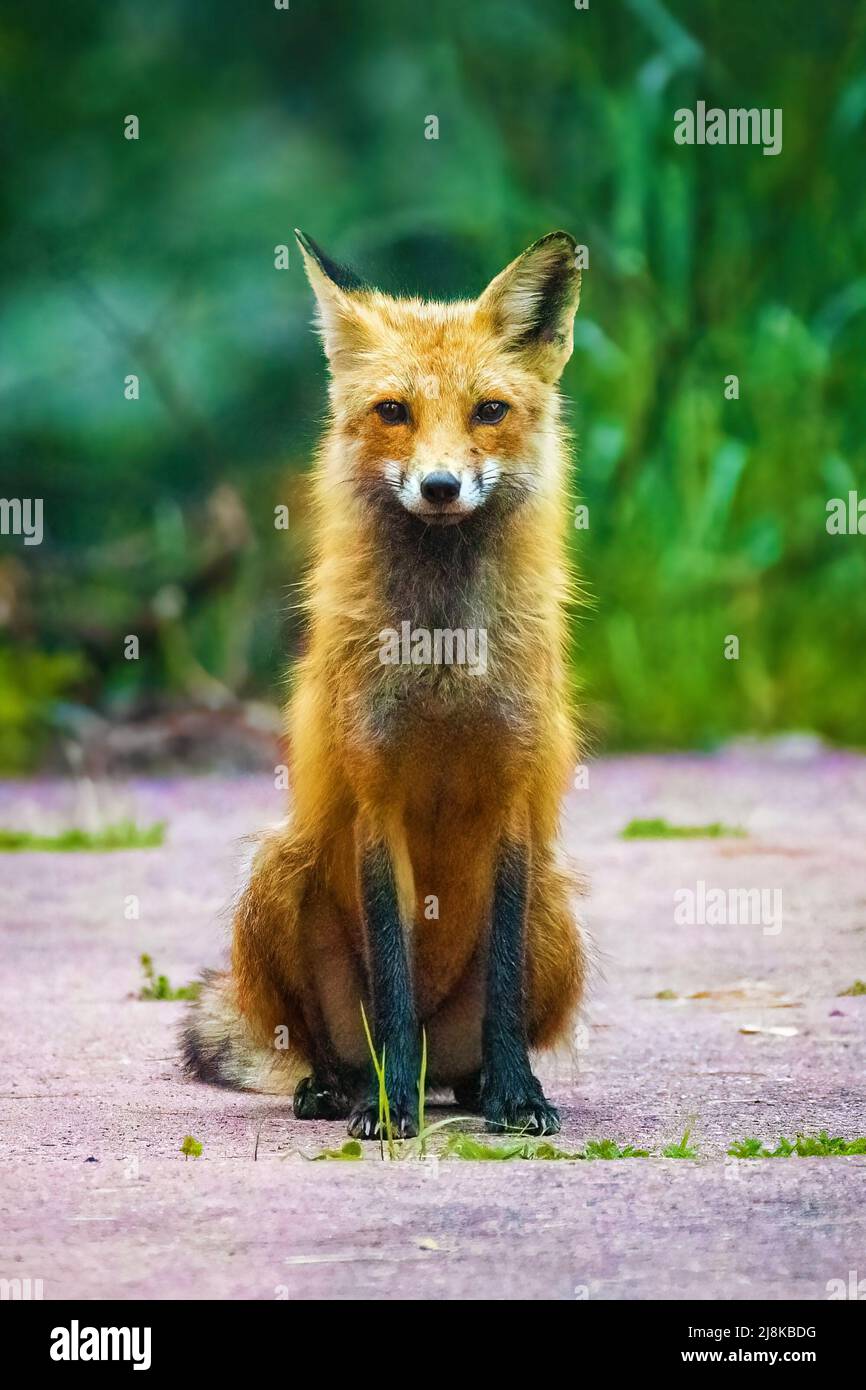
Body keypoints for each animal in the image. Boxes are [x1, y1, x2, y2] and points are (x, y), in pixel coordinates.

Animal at [183, 230, 589, 1139]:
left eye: (488, 411)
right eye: (395, 411)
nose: (440, 487)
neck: (441, 661)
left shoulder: (513, 799)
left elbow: (504, 985)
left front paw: (518, 1097)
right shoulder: (378, 800)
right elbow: (395, 979)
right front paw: (387, 1103)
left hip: (556, 907)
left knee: (474, 1048)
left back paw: (478, 1089)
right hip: (278, 874)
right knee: (326, 1040)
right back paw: (341, 1087)